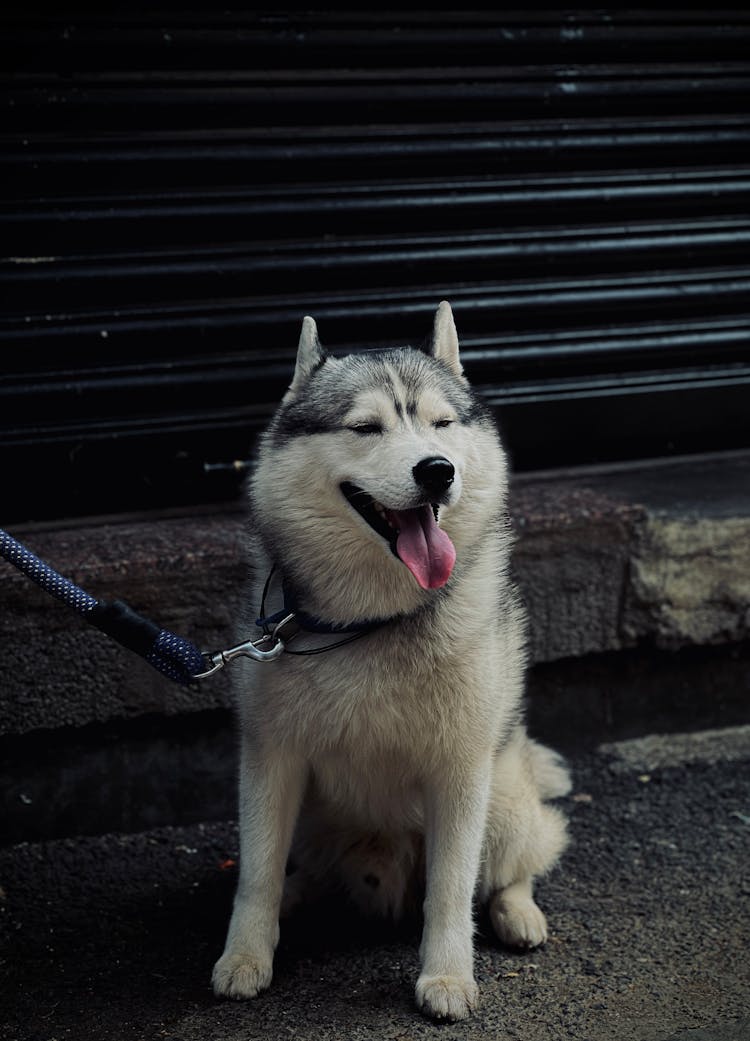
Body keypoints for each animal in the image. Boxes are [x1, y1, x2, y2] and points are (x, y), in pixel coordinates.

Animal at [212, 303, 566, 1020]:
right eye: (365, 427)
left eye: (441, 423)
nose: (437, 470)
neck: (371, 622)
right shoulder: (271, 756)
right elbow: (258, 872)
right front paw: (245, 955)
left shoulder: (460, 768)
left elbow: (452, 888)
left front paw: (448, 976)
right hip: (317, 818)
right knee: (299, 869)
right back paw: (299, 895)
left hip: (505, 795)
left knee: (516, 862)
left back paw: (517, 912)